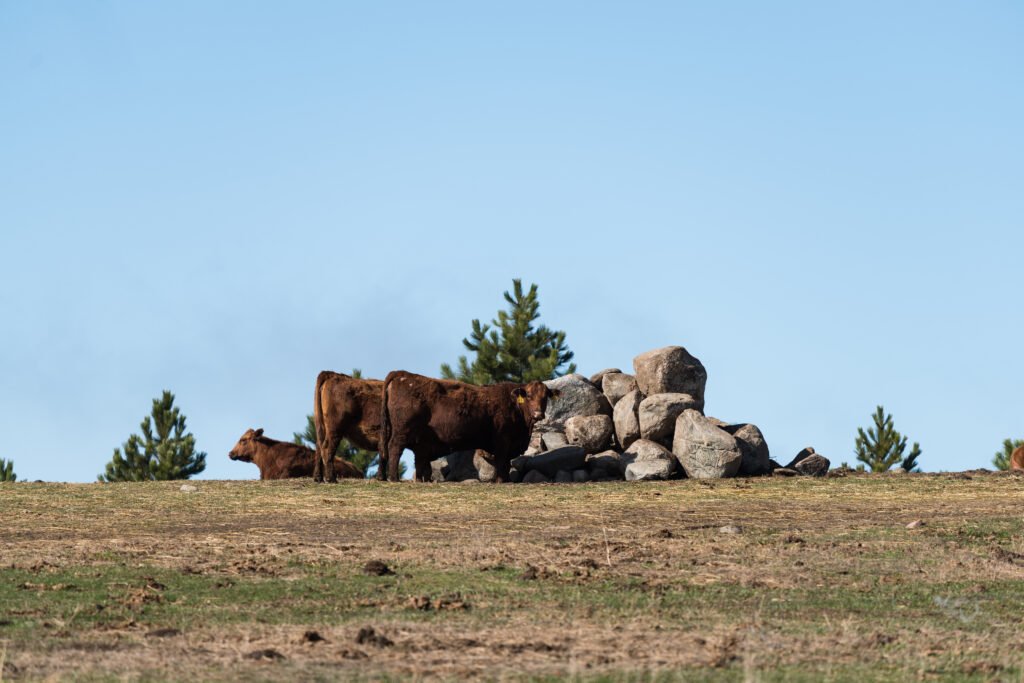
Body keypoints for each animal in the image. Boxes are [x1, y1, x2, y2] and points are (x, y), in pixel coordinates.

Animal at [379, 371, 557, 483]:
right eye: (529, 396)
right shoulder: (502, 440)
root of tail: (403, 375)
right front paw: (502, 480)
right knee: (394, 449)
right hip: (402, 432)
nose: (538, 414)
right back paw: (394, 478)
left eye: (545, 397)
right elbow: (502, 462)